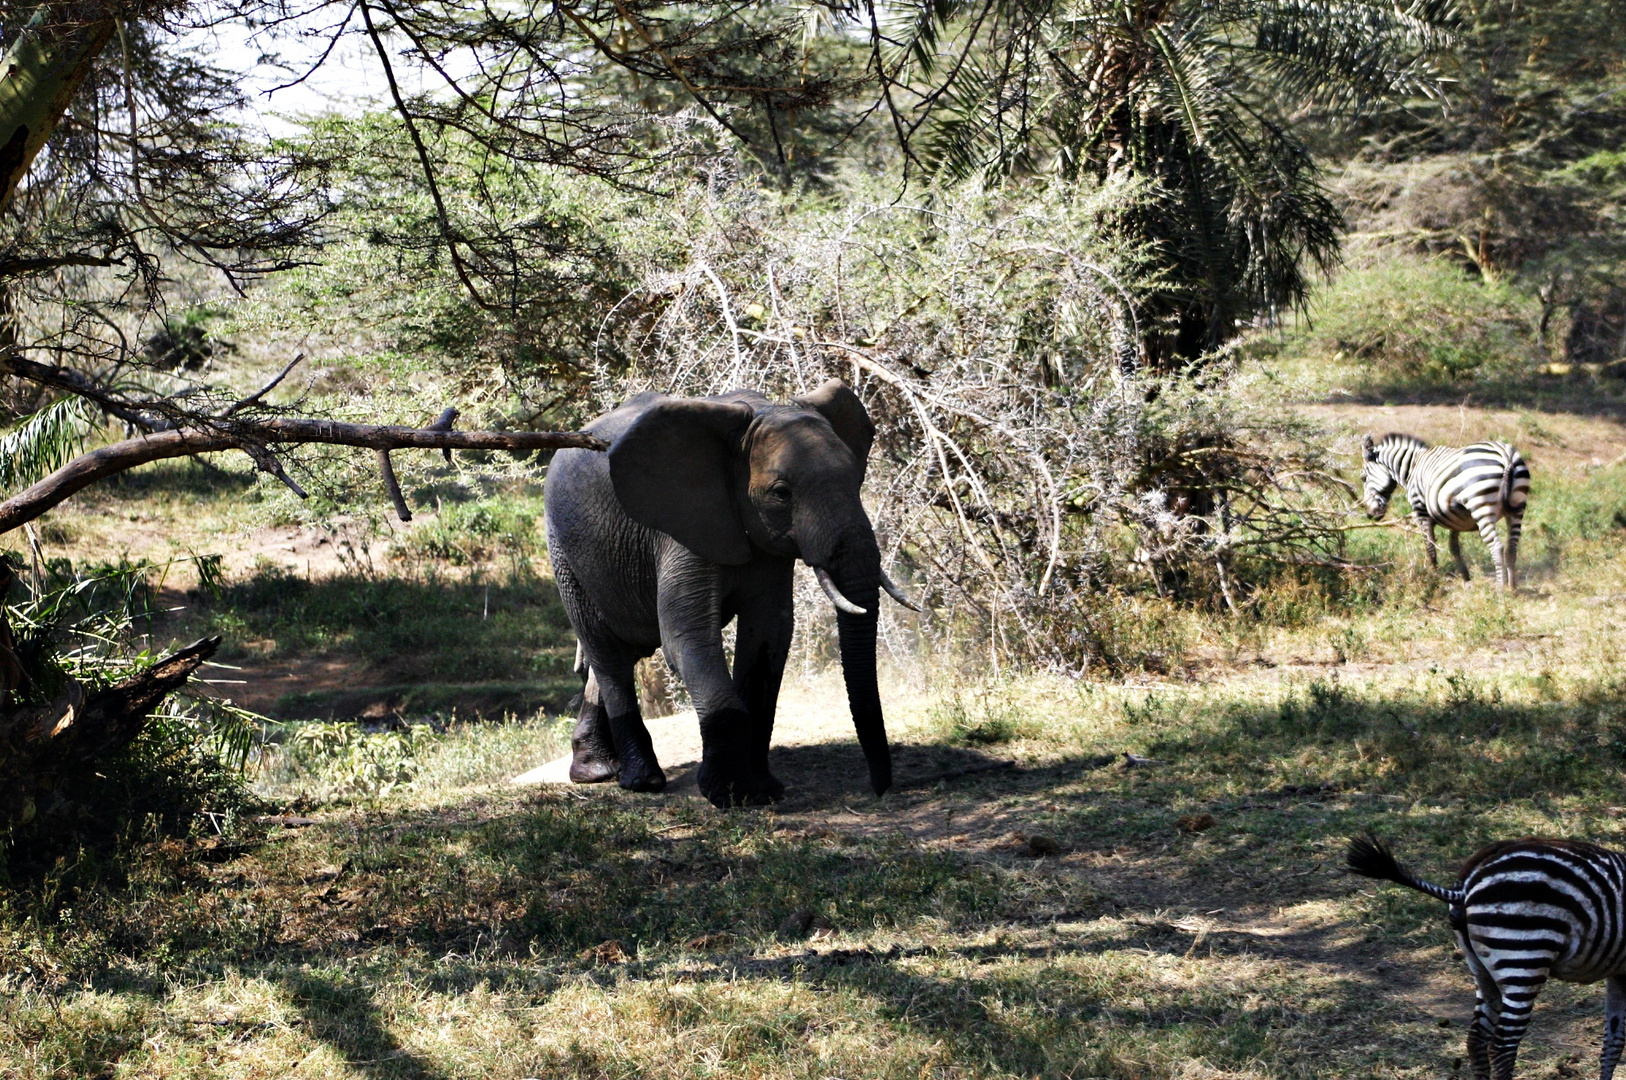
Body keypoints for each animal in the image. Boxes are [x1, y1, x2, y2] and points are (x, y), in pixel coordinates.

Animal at [543, 382, 917, 810]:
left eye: (857, 479)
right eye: (781, 494)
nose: (880, 788)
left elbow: (770, 636)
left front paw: (763, 792)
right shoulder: (681, 529)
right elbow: (686, 638)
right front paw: (730, 795)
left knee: (616, 654)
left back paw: (595, 771)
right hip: (564, 554)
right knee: (609, 655)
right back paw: (641, 781)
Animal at [1346, 832, 1626, 1080]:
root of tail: (1468, 881)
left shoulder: (1619, 974)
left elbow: (1613, 1041)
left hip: (1481, 966)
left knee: (1477, 1039)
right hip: (1524, 957)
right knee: (1502, 1046)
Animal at [1365, 432, 1528, 592]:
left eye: (1363, 478)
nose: (1370, 515)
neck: (1412, 467)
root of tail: (1504, 455)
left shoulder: (1421, 511)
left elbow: (1430, 546)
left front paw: (1434, 579)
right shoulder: (1456, 518)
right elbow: (1454, 548)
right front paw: (1466, 579)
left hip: (1481, 507)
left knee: (1497, 547)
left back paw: (1500, 590)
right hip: (1517, 508)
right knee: (1512, 547)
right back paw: (1512, 589)